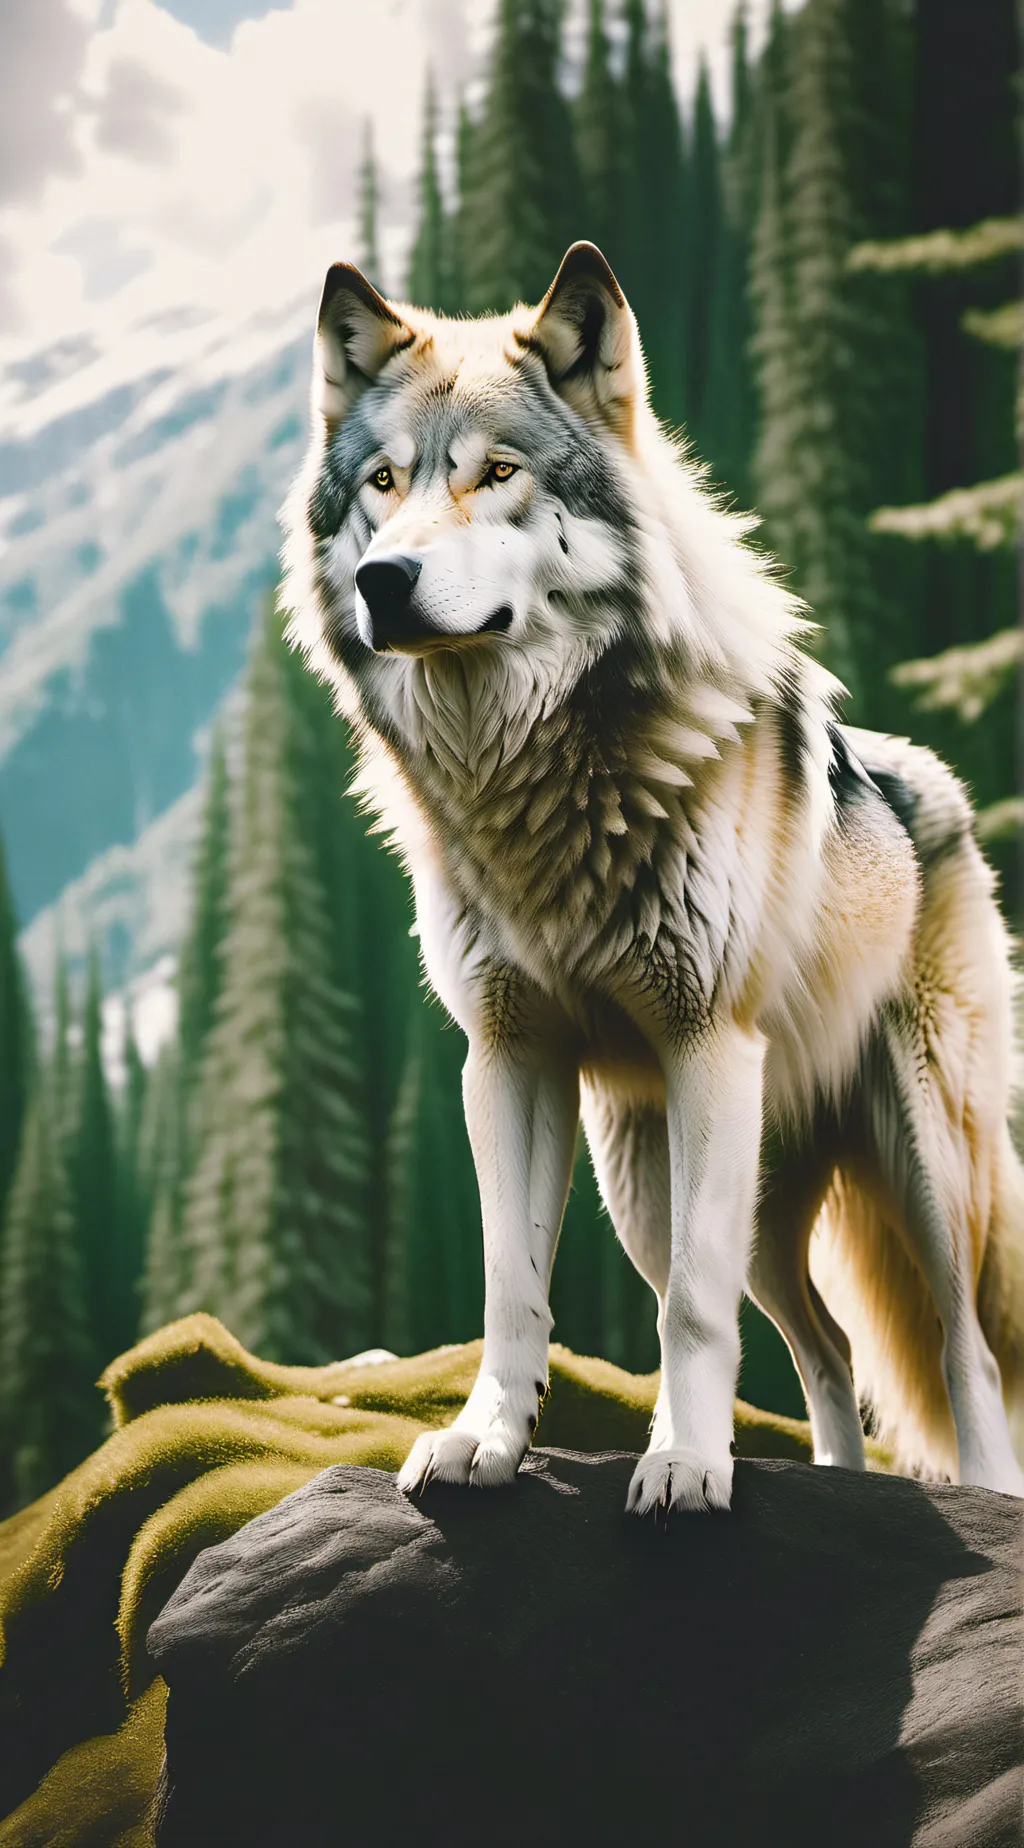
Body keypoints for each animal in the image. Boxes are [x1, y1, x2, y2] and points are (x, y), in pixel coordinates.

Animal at [281, 242, 1024, 1513]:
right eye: (383, 481)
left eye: (497, 474)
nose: (385, 579)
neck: (529, 785)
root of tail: (940, 787)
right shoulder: (508, 1059)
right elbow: (512, 1289)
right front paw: (484, 1442)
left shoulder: (705, 1045)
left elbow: (688, 1313)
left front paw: (681, 1465)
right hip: (658, 1183)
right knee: (824, 1350)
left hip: (918, 1159)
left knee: (958, 1352)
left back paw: (973, 1493)